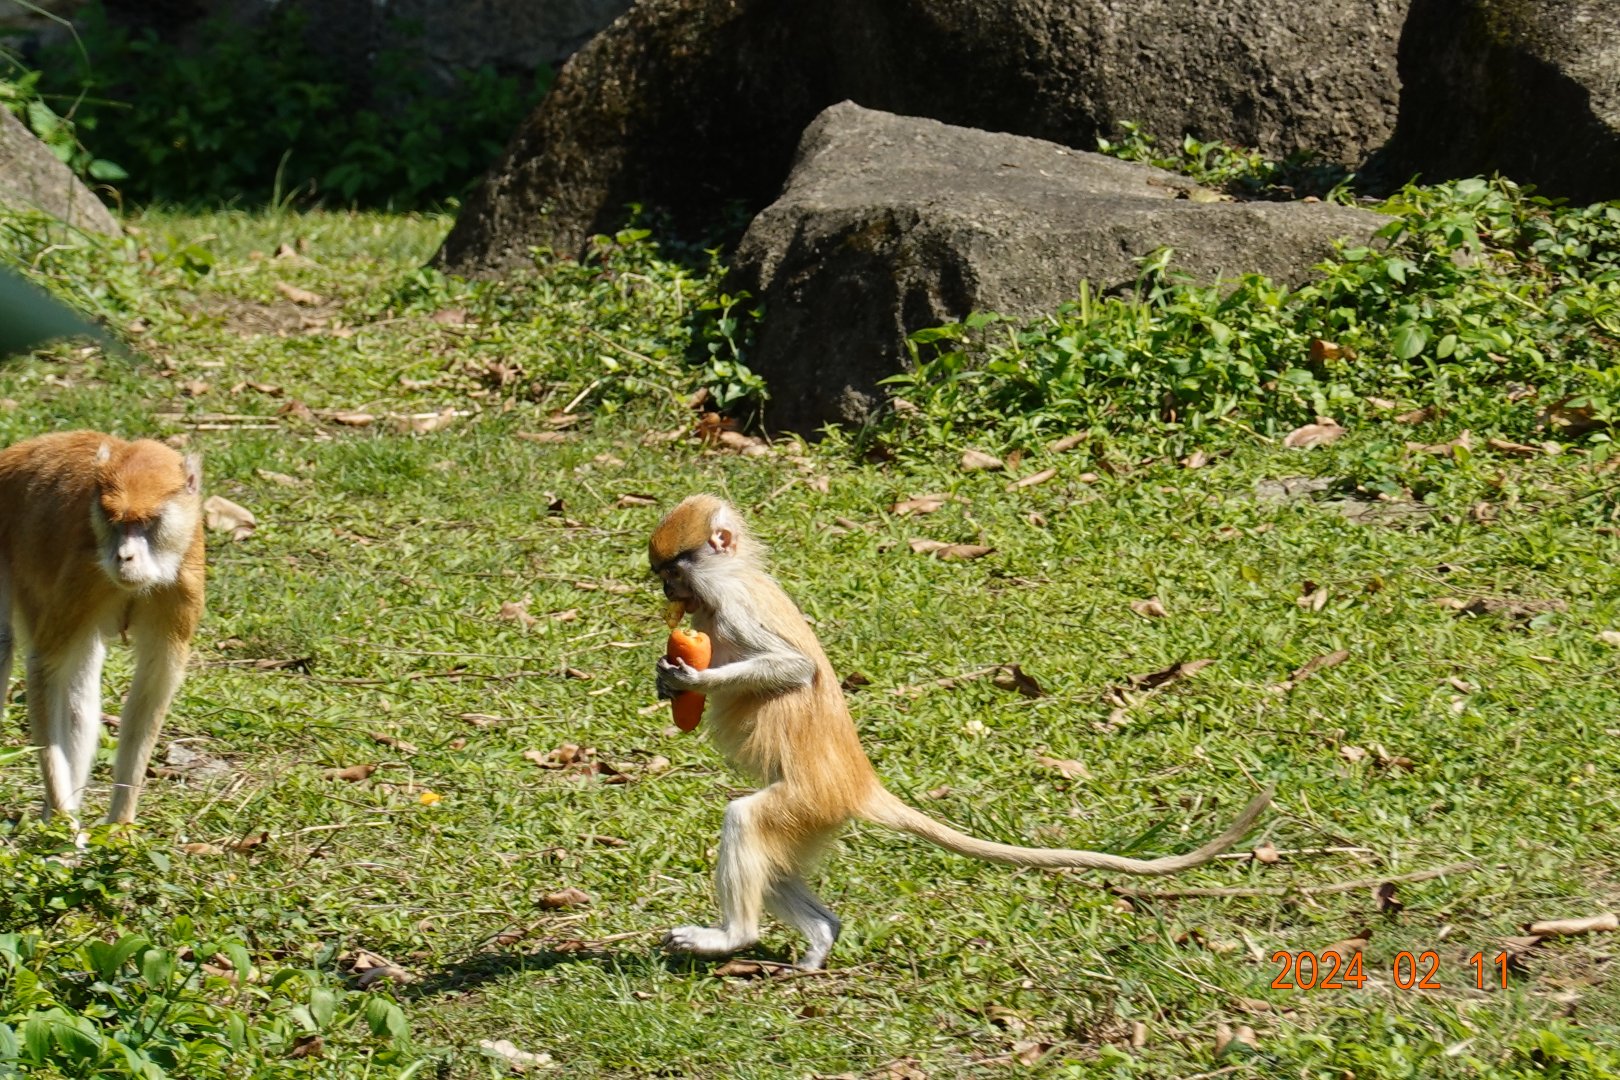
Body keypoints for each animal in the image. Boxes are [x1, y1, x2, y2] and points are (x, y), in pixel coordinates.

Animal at [0, 431, 205, 827]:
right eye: (114, 520)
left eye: (147, 521)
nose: (124, 556)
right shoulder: (84, 575)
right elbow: (45, 667)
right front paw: (65, 820)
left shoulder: (183, 582)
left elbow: (153, 683)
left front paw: (120, 824)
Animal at [650, 494, 1272, 970]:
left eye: (674, 571)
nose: (666, 595)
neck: (736, 570)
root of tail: (858, 782)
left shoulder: (733, 602)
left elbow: (793, 668)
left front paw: (690, 678)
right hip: (815, 816)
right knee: (774, 857)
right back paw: (821, 936)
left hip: (805, 800)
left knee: (746, 817)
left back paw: (733, 937)